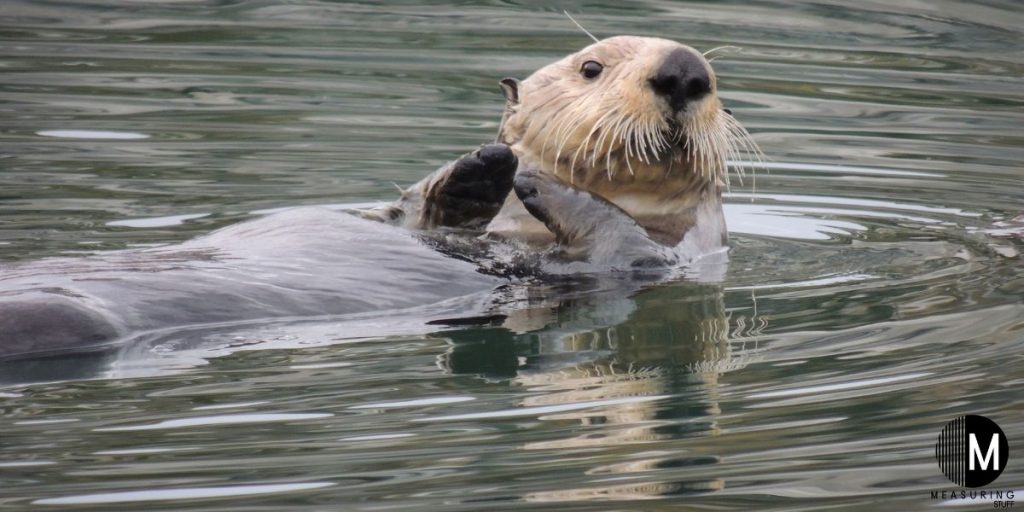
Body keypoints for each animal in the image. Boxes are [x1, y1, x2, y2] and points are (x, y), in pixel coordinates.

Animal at [0, 36, 759, 361]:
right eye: (591, 67)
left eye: (713, 78)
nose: (684, 72)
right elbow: (405, 212)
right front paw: (479, 169)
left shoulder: (656, 261)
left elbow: (616, 241)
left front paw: (540, 181)